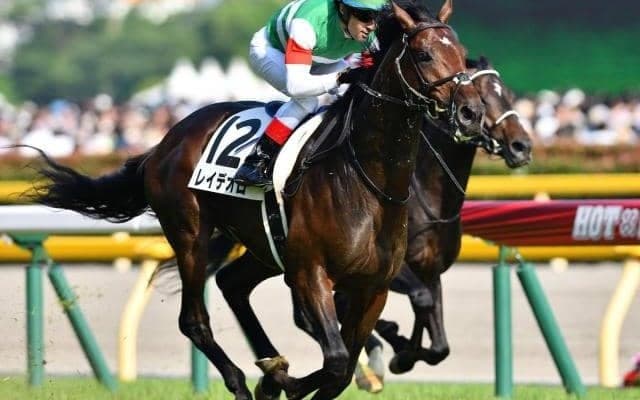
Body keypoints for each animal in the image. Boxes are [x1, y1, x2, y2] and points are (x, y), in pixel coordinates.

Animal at [27, 1, 484, 399]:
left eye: (462, 56)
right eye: (424, 55)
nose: (470, 113)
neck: (366, 180)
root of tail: (163, 144)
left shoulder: (373, 287)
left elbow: (342, 369)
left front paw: (285, 377)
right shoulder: (311, 273)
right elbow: (336, 360)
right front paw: (280, 383)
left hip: (265, 246)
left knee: (232, 283)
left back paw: (271, 364)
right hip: (191, 235)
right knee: (194, 321)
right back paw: (247, 380)